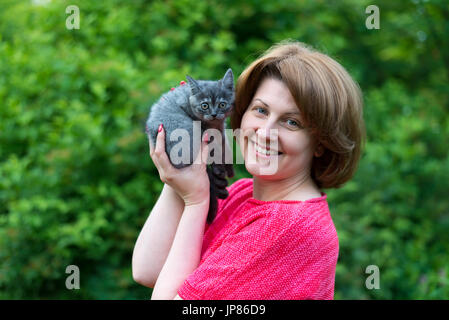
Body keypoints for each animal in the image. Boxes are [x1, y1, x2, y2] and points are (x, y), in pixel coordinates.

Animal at [145, 69, 234, 224]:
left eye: (222, 104)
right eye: (205, 105)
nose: (214, 114)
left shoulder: (220, 129)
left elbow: (223, 144)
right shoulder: (206, 129)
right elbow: (215, 148)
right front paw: (220, 168)